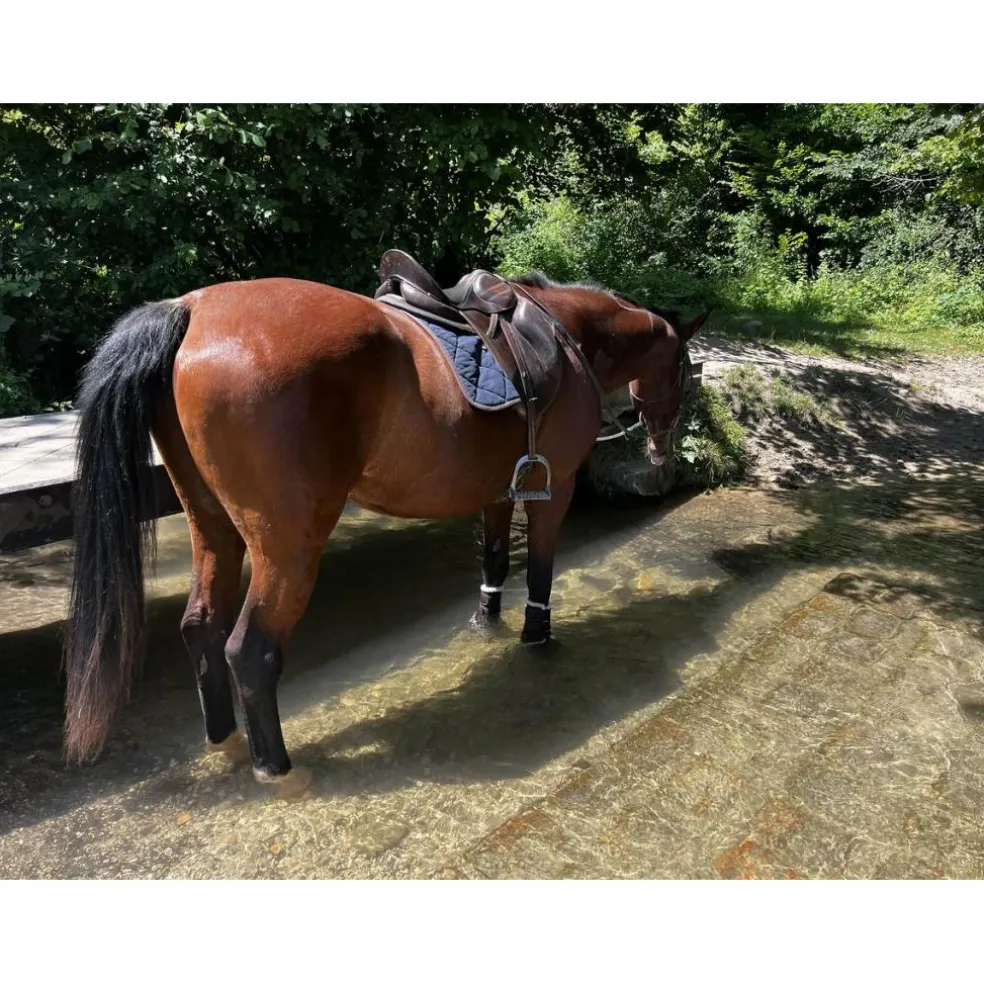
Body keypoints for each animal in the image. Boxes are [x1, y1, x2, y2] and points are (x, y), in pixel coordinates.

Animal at [62, 269, 706, 798]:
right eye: (684, 369)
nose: (662, 450)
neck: (566, 335)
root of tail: (192, 308)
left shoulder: (500, 491)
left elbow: (496, 563)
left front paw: (487, 622)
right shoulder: (558, 487)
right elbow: (542, 570)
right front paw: (536, 636)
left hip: (213, 527)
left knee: (201, 627)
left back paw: (225, 740)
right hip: (287, 546)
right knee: (250, 649)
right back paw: (278, 769)